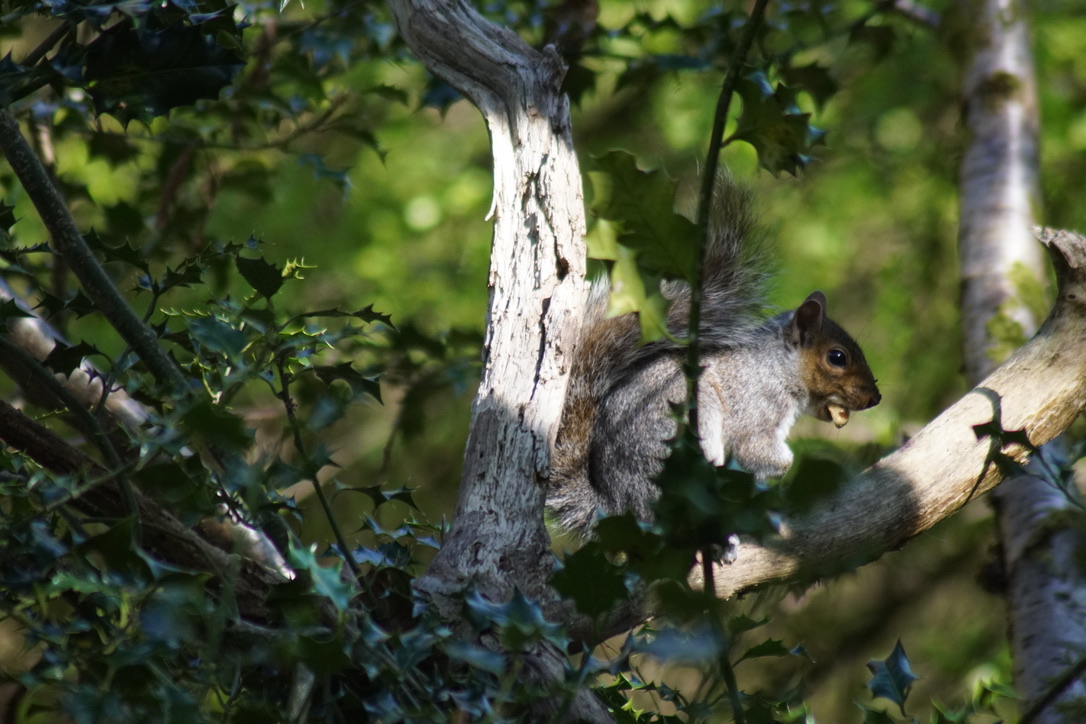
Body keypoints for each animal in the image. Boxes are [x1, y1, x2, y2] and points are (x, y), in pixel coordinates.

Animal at [547, 178, 877, 536]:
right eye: (837, 357)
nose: (875, 397)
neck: (777, 368)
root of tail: (617, 508)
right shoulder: (756, 411)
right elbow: (756, 451)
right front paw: (783, 467)